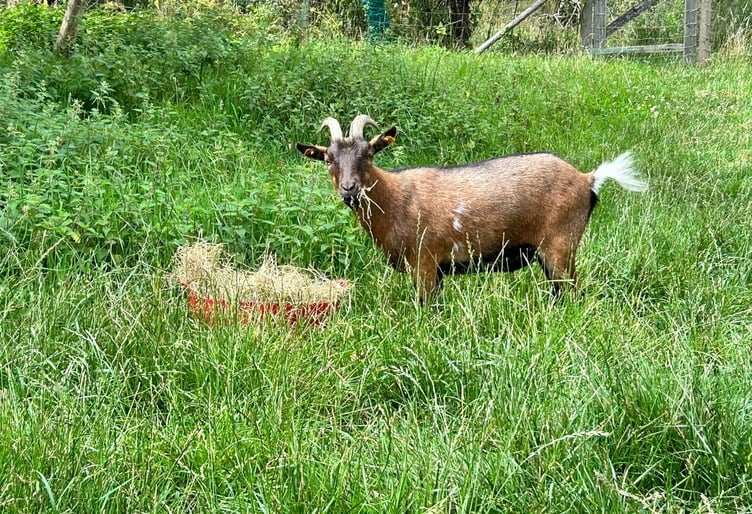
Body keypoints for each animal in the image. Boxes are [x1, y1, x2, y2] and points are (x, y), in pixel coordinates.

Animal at [297, 114, 647, 301]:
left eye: (368, 154)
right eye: (328, 158)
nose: (349, 188)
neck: (395, 200)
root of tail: (588, 179)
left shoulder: (425, 262)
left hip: (560, 246)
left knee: (572, 293)